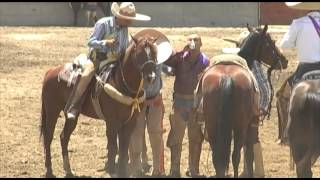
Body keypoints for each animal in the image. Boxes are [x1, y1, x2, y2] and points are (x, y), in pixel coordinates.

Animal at [39, 34, 159, 177]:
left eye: (155, 53)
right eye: (140, 53)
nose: (151, 77)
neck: (121, 83)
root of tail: (50, 71)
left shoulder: (130, 122)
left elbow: (123, 149)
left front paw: (122, 171)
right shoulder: (112, 122)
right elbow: (113, 147)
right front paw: (112, 170)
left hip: (71, 116)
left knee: (64, 137)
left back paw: (68, 170)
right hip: (52, 111)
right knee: (48, 137)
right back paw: (49, 170)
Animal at [199, 23, 288, 177]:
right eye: (272, 42)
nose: (284, 60)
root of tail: (226, 77)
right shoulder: (252, 124)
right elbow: (249, 154)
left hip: (212, 125)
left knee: (218, 157)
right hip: (240, 127)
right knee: (235, 156)